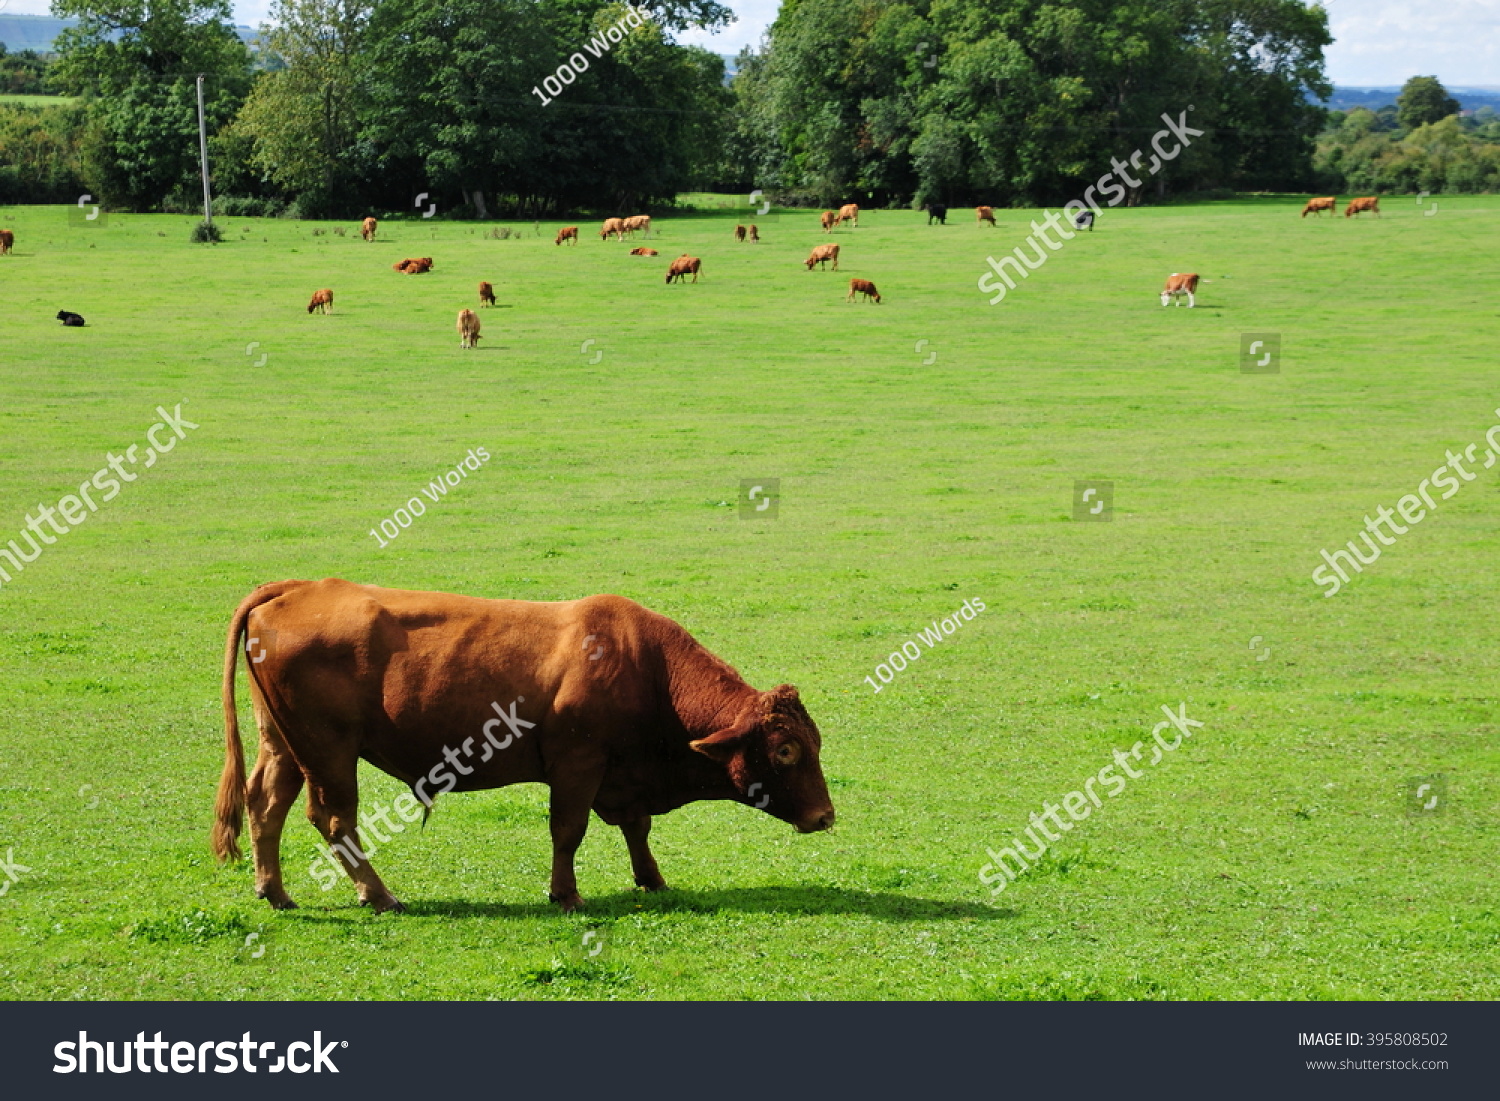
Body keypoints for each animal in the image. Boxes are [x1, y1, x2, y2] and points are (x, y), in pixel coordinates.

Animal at [216, 588, 840, 912]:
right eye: (786, 751)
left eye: (814, 742)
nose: (825, 816)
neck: (648, 667)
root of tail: (300, 588)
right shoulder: (577, 765)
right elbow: (568, 830)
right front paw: (565, 894)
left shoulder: (622, 774)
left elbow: (636, 827)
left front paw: (651, 878)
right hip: (328, 751)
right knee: (334, 818)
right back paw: (380, 895)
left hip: (283, 745)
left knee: (266, 805)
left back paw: (275, 891)